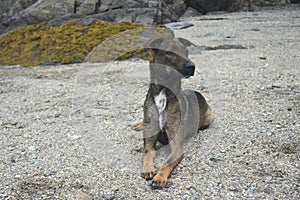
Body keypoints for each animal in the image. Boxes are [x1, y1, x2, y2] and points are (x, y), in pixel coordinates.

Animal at [132, 37, 212, 189]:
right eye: (169, 52)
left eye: (186, 51)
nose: (192, 66)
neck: (163, 92)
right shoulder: (150, 142)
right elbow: (148, 154)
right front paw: (148, 169)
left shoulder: (176, 147)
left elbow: (166, 163)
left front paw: (159, 177)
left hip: (208, 119)